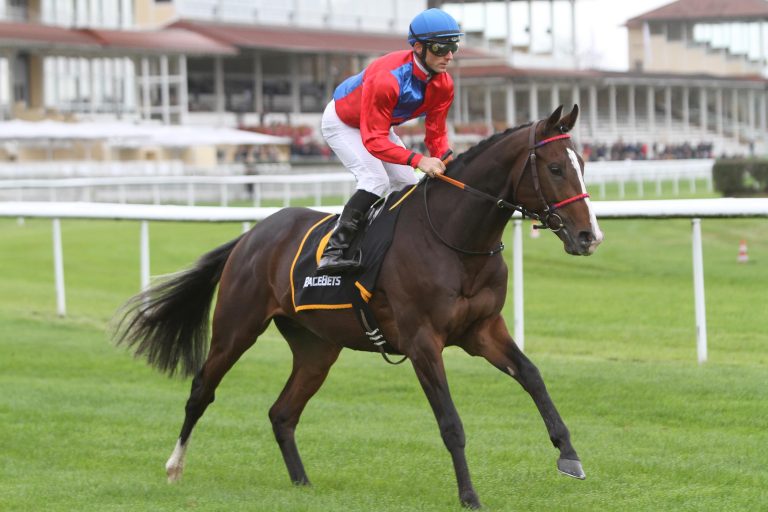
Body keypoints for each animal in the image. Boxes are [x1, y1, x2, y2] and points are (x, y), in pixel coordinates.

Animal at [114, 104, 603, 509]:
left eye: (582, 165)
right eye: (556, 167)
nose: (589, 236)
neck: (454, 239)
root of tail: (251, 236)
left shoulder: (483, 330)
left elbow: (533, 376)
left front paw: (570, 456)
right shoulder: (423, 341)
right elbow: (451, 422)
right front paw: (469, 495)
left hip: (316, 348)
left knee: (282, 413)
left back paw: (302, 483)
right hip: (237, 326)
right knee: (202, 389)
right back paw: (175, 467)